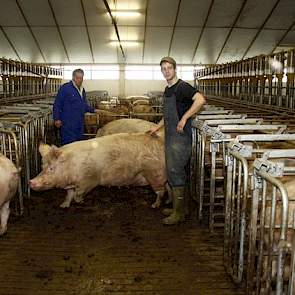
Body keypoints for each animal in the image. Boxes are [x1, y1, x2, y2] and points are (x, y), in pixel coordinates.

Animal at [30, 133, 168, 209]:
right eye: (42, 166)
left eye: (51, 168)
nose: (31, 181)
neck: (73, 165)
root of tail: (162, 144)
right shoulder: (71, 183)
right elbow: (69, 194)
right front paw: (63, 206)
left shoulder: (89, 180)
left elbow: (77, 194)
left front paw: (81, 201)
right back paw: (167, 202)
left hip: (155, 174)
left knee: (161, 192)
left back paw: (154, 206)